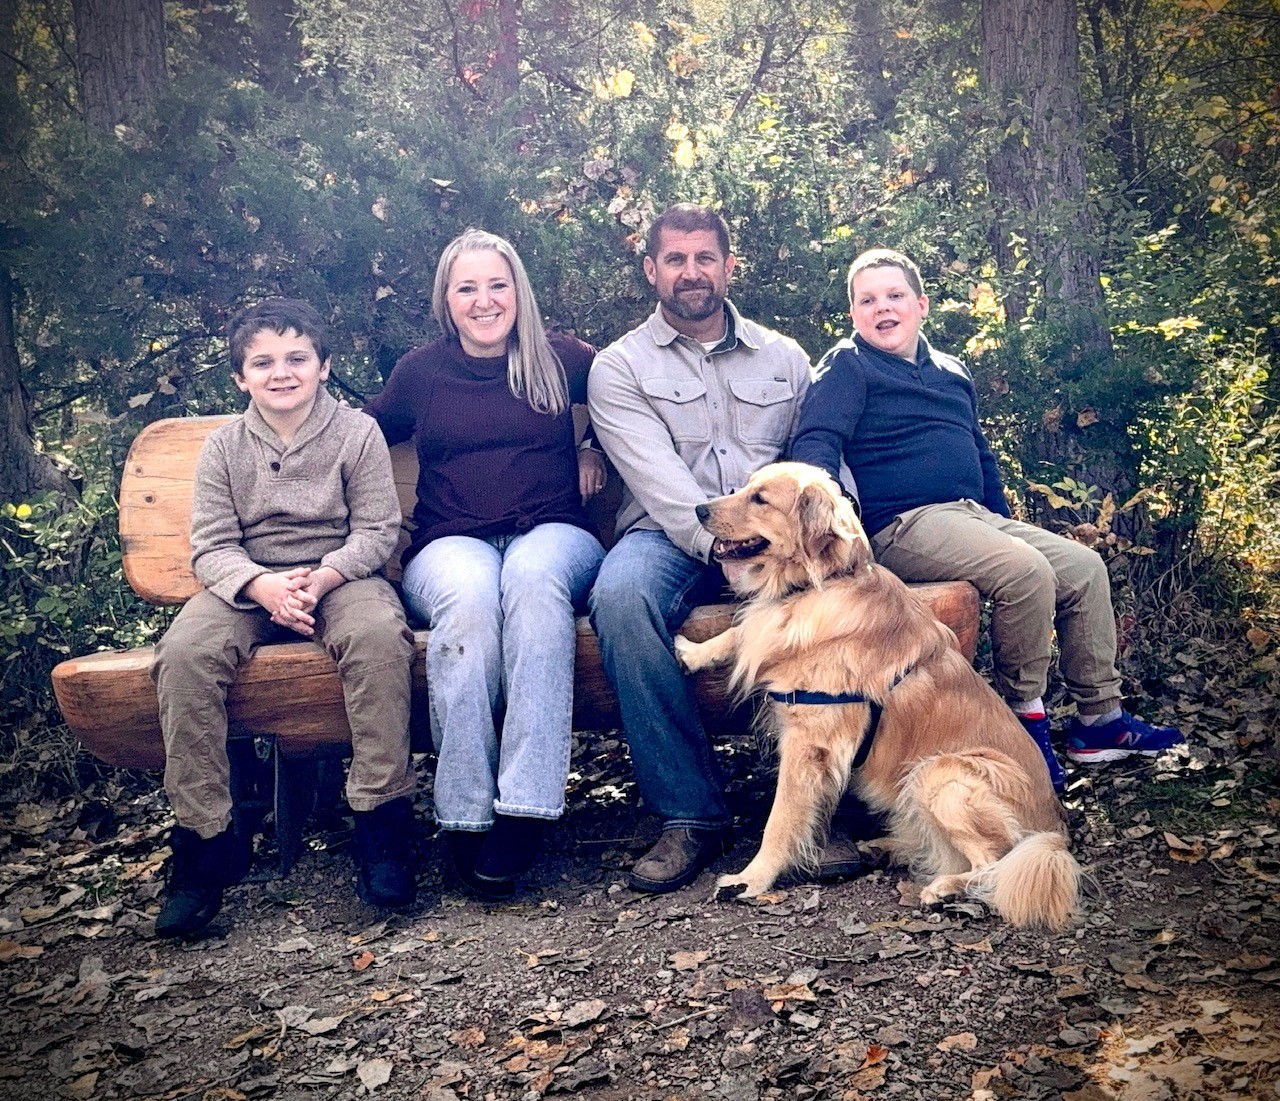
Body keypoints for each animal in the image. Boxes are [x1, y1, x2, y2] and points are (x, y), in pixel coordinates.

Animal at [670, 460, 1080, 926]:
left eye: (761, 499)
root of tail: (1057, 829)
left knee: (994, 861)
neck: (822, 585)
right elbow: (740, 632)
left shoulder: (809, 743)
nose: (699, 510)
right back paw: (883, 849)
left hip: (941, 774)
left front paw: (750, 879)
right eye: (744, 487)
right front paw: (692, 652)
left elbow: (780, 818)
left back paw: (945, 889)